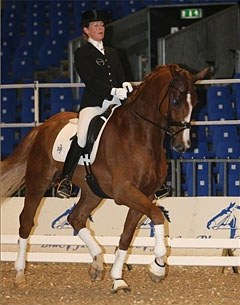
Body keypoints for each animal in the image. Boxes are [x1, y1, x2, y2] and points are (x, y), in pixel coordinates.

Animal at [0, 64, 208, 292]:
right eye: (175, 101)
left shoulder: (144, 195)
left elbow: (127, 235)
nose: (183, 145)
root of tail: (43, 126)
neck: (141, 134)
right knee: (26, 221)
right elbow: (157, 216)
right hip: (38, 181)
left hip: (92, 192)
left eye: (196, 102)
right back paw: (20, 273)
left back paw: (97, 263)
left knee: (76, 218)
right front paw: (159, 266)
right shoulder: (124, 192)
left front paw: (118, 278)